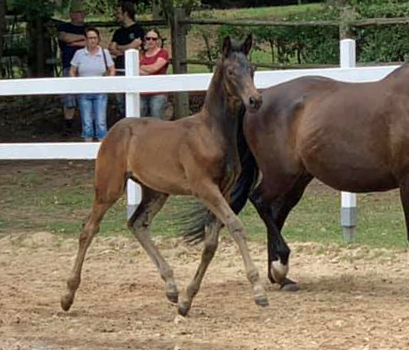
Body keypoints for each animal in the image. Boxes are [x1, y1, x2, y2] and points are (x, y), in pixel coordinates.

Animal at [59, 35, 266, 318]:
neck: (212, 132)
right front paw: (258, 291)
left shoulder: (222, 190)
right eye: (232, 72)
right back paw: (67, 296)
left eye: (253, 69)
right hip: (108, 187)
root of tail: (114, 130)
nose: (255, 100)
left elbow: (211, 244)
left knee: (136, 224)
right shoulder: (204, 188)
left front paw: (187, 300)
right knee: (89, 228)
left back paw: (171, 287)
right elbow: (235, 225)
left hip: (156, 191)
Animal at [185, 64, 409, 288]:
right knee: (259, 200)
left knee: (275, 212)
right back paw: (280, 266)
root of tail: (259, 99)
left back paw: (279, 276)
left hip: (297, 180)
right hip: (281, 175)